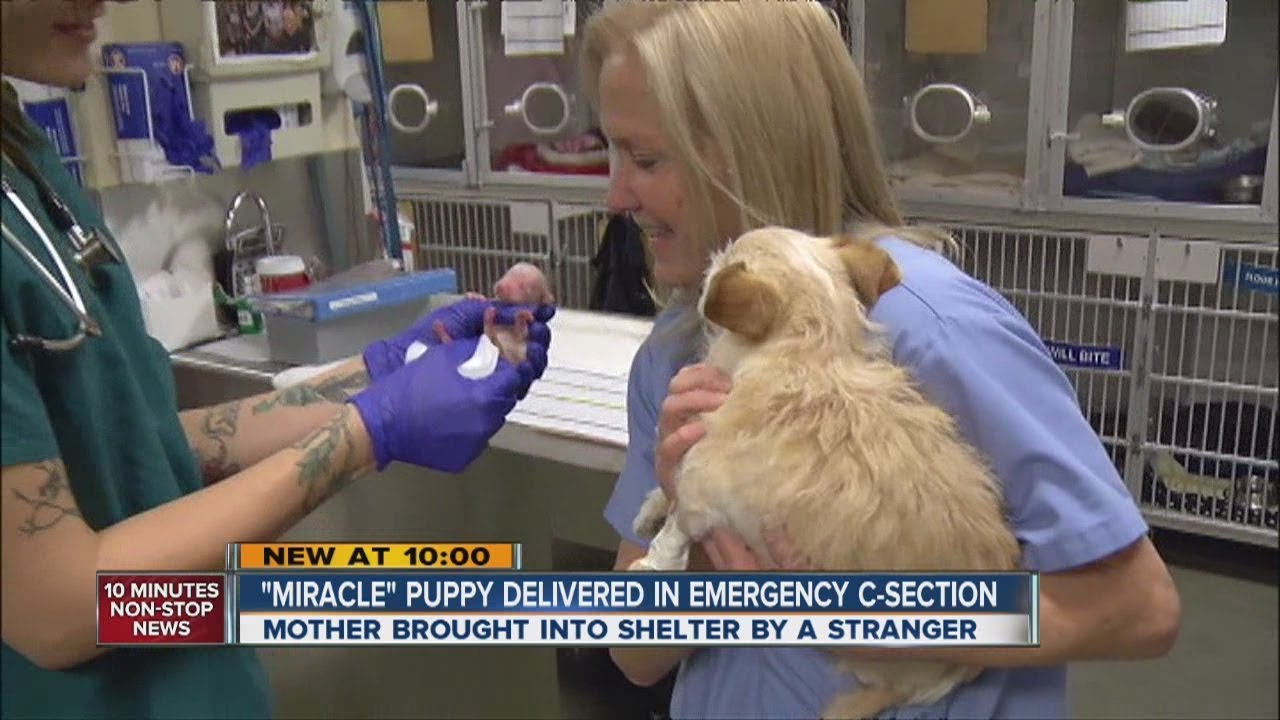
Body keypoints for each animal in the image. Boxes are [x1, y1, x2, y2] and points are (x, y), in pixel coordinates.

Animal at [630, 227, 1022, 719]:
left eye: (722, 264)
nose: (704, 274)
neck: (810, 352)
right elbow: (669, 486)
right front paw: (650, 506)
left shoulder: (704, 490)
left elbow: (675, 528)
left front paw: (650, 563)